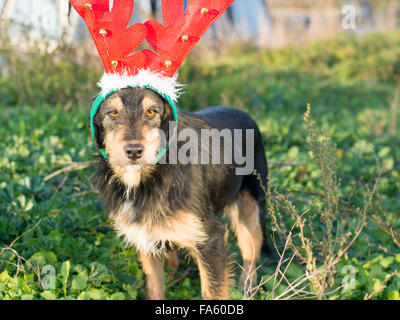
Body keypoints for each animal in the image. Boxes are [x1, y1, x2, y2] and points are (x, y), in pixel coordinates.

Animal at [92, 86, 268, 298]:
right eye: (112, 113)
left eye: (151, 111)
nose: (134, 151)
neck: (151, 178)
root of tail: (245, 113)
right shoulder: (144, 238)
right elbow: (155, 288)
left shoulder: (211, 239)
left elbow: (212, 291)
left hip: (250, 210)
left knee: (251, 252)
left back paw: (248, 288)